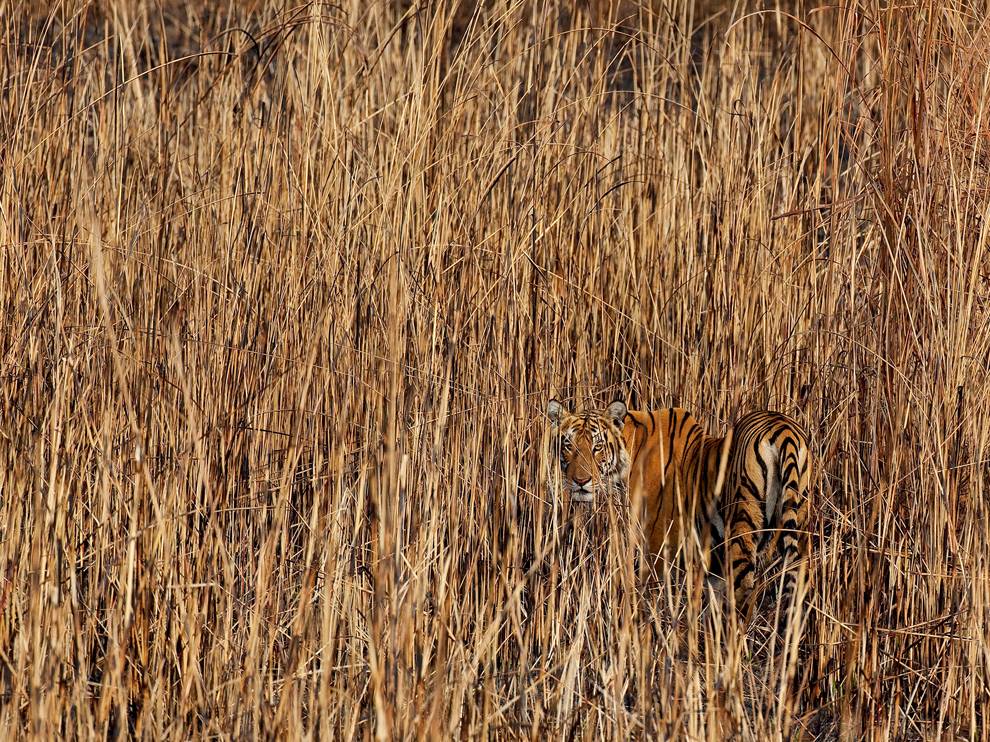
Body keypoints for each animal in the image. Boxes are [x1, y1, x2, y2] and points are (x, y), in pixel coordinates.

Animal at [552, 398, 812, 624]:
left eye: (597, 447)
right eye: (569, 445)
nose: (580, 481)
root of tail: (783, 429)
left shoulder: (658, 546)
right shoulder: (712, 563)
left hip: (742, 530)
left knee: (744, 598)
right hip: (799, 531)